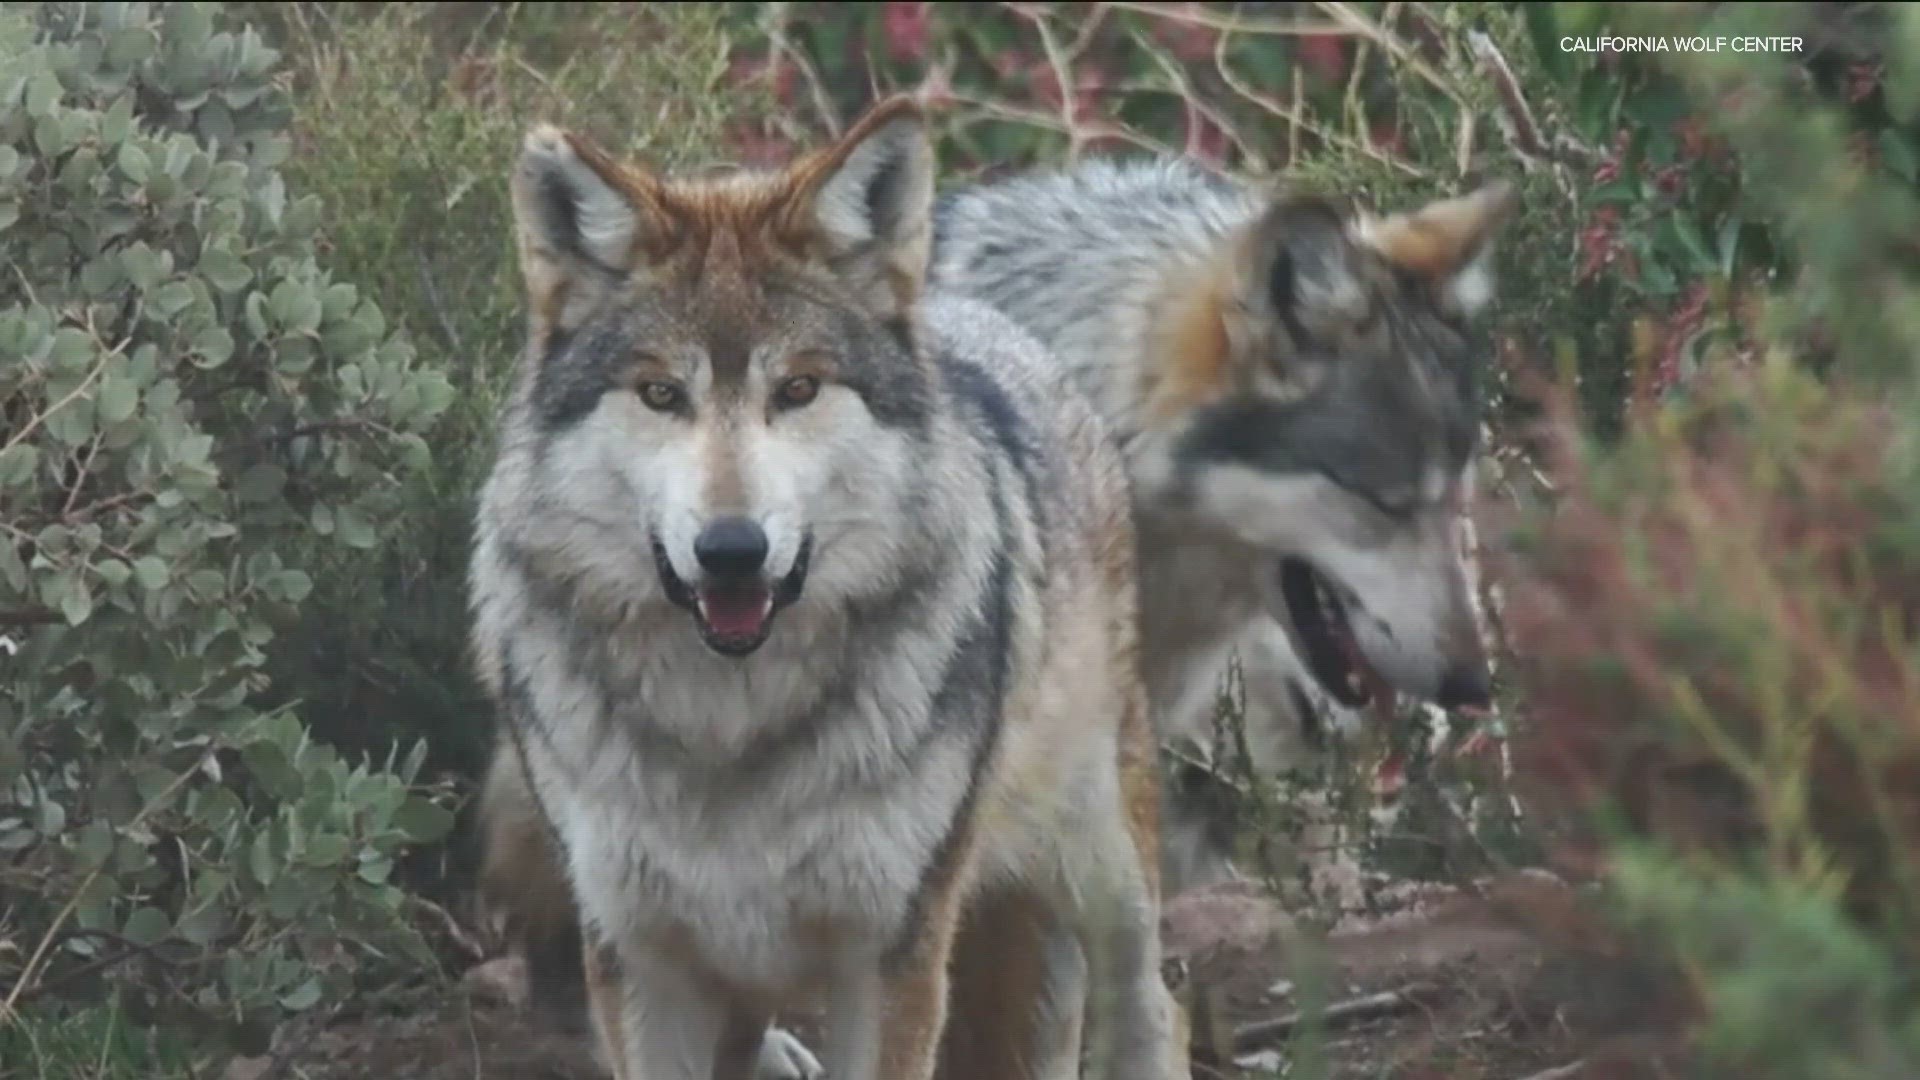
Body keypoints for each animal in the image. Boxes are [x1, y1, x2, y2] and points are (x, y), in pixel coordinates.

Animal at [466, 95, 1189, 1080]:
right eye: (661, 395)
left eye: (799, 389)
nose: (731, 550)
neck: (730, 729)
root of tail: (976, 317)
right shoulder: (642, 962)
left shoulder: (890, 955)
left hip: (1097, 860)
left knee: (1154, 1006)